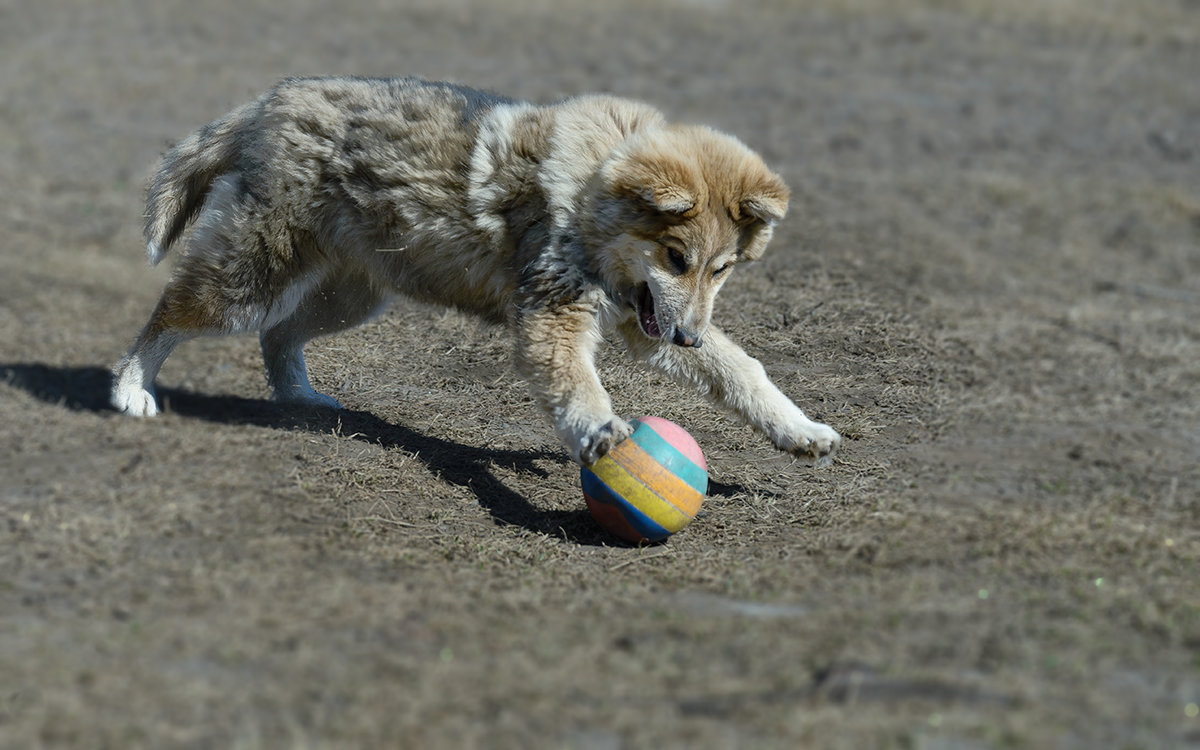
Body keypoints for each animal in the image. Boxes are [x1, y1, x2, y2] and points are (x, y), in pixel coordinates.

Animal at [114, 76, 844, 463]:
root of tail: (267, 104)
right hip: (252, 281)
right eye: (676, 257)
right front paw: (598, 431)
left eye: (721, 269)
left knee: (278, 338)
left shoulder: (639, 320)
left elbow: (741, 369)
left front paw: (798, 430)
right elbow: (579, 386)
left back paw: (302, 398)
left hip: (351, 297)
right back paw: (130, 391)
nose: (687, 337)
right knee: (166, 316)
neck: (588, 195)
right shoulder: (555, 319)